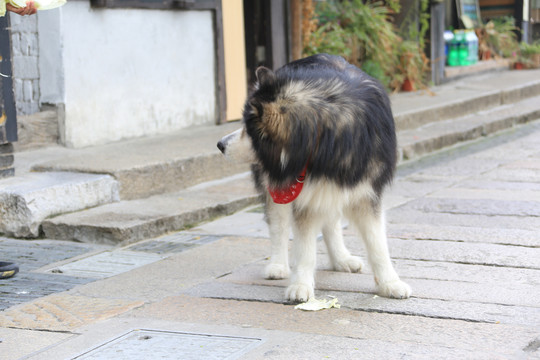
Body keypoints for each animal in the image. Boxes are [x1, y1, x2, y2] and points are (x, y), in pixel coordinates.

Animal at [217, 52, 412, 300]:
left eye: (248, 130)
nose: (220, 145)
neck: (323, 136)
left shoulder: (365, 193)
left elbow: (377, 243)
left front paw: (390, 283)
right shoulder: (303, 195)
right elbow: (304, 248)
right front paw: (301, 284)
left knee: (330, 222)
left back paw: (341, 259)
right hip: (278, 182)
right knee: (279, 225)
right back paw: (278, 265)